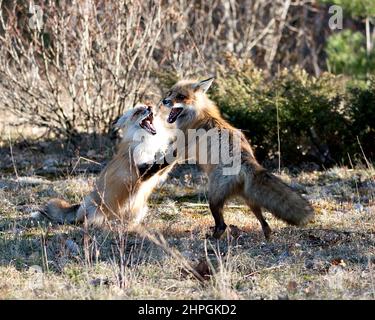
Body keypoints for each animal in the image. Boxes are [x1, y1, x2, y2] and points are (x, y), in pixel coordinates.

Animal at [40, 105, 176, 228]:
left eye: (147, 106)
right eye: (138, 111)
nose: (150, 107)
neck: (146, 142)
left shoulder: (159, 174)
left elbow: (165, 163)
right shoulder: (141, 171)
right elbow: (161, 162)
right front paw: (175, 150)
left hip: (140, 208)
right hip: (94, 207)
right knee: (86, 221)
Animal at [161, 77, 314, 238]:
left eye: (181, 96)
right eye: (170, 93)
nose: (164, 101)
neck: (199, 114)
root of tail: (247, 161)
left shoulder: (180, 150)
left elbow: (164, 161)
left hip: (213, 198)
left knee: (222, 225)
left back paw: (211, 239)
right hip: (250, 200)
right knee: (265, 224)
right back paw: (267, 239)